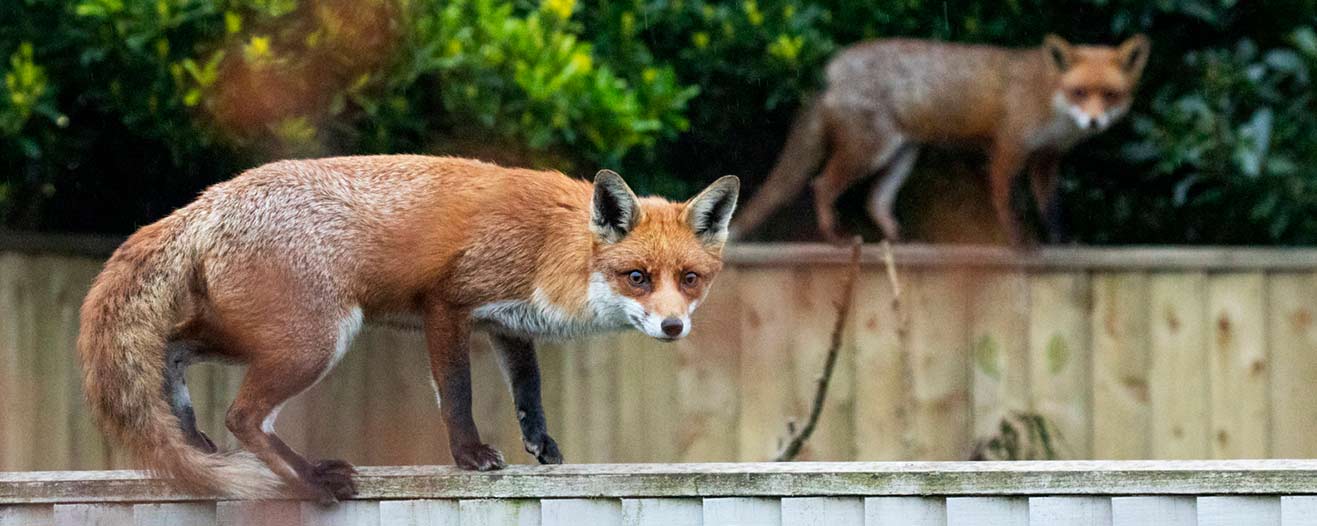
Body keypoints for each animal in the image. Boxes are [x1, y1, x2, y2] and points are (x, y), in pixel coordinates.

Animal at [78, 155, 739, 502]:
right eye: (637, 277)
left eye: (689, 278)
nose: (673, 326)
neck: (551, 248)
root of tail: (210, 200)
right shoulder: (446, 304)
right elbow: (457, 395)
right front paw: (470, 457)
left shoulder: (506, 322)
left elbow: (529, 391)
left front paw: (541, 445)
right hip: (315, 341)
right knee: (241, 415)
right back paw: (309, 479)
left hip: (259, 337)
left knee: (171, 348)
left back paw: (191, 440)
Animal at [729, 34, 1151, 246]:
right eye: (1079, 92)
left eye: (1109, 95)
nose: (1093, 122)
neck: (1049, 100)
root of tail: (831, 65)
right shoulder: (1007, 149)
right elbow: (1007, 202)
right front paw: (1018, 243)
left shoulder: (1046, 160)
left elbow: (1052, 209)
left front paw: (1062, 243)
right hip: (870, 151)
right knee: (822, 185)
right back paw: (835, 236)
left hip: (902, 155)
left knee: (875, 201)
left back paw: (901, 242)